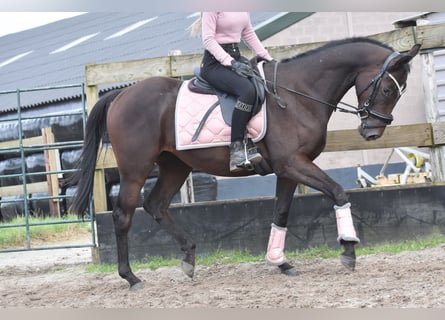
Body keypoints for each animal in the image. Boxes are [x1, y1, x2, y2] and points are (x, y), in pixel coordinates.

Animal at [70, 38, 420, 290]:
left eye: (400, 92)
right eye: (386, 88)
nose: (372, 132)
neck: (299, 94)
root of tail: (121, 95)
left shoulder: (289, 169)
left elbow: (281, 212)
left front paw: (280, 261)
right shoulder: (293, 163)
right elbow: (338, 192)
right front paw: (348, 249)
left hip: (175, 165)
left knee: (156, 205)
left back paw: (189, 258)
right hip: (136, 168)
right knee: (123, 215)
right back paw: (131, 277)